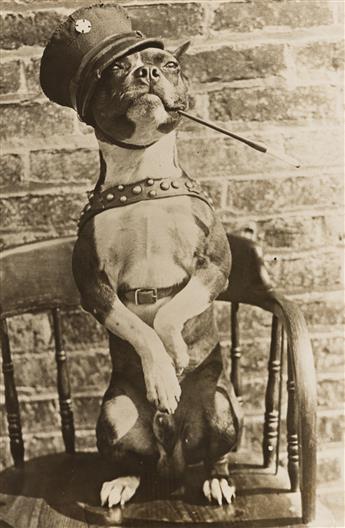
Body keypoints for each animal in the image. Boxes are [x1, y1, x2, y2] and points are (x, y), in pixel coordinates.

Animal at [39, 2, 242, 510]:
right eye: (115, 69)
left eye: (170, 65)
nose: (146, 71)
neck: (144, 176)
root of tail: (173, 448)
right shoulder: (94, 286)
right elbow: (139, 328)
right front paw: (162, 376)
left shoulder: (215, 268)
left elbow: (171, 310)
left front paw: (176, 355)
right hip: (114, 411)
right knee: (130, 459)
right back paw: (121, 482)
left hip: (223, 407)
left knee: (219, 452)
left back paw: (217, 479)